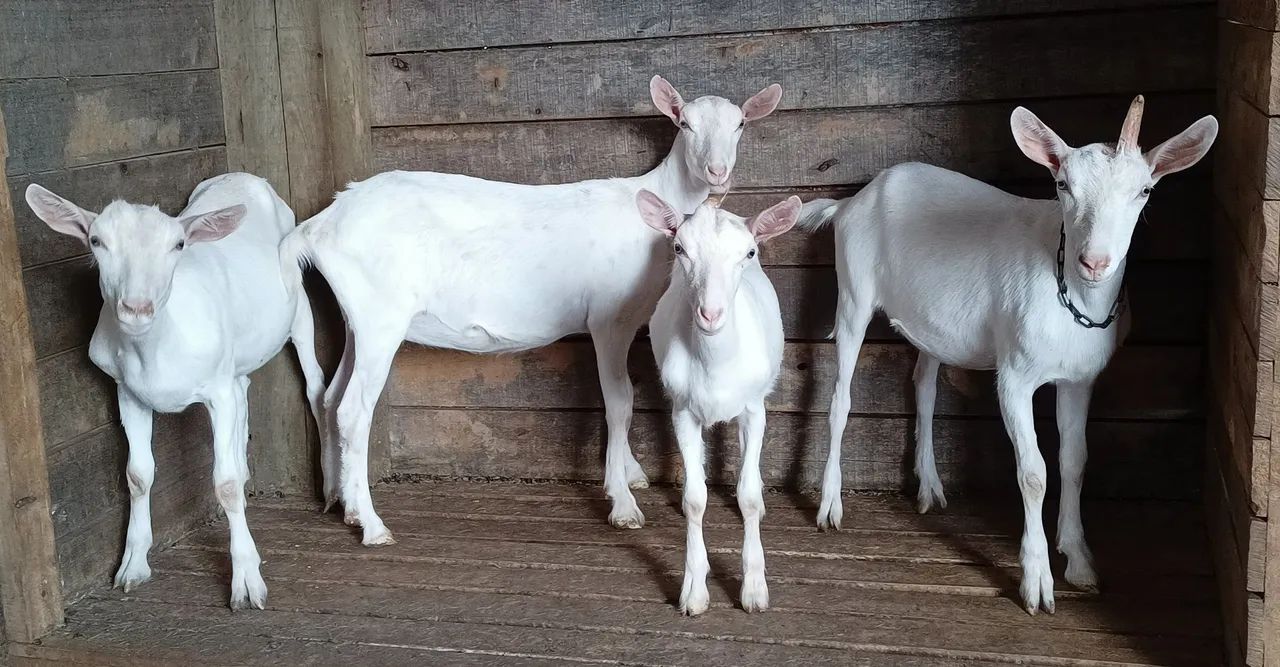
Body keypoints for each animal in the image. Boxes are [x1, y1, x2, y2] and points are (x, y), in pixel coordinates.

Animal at [26, 173, 326, 609]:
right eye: (96, 240)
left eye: (179, 245)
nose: (137, 308)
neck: (157, 347)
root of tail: (245, 177)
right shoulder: (128, 392)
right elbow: (137, 475)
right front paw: (133, 566)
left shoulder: (216, 391)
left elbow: (225, 483)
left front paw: (246, 582)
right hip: (236, 359)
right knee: (244, 390)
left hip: (299, 308)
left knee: (315, 382)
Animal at [281, 76, 783, 545]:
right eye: (684, 124)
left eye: (740, 123)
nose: (717, 172)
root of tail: (320, 225)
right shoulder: (609, 319)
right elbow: (620, 401)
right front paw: (622, 502)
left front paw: (631, 474)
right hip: (381, 316)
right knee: (352, 409)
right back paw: (371, 524)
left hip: (358, 320)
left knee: (330, 396)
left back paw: (342, 502)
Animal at [639, 189, 800, 615]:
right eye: (679, 248)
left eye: (749, 252)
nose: (710, 315)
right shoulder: (682, 411)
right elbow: (696, 499)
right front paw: (693, 591)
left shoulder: (754, 410)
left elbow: (747, 496)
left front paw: (754, 589)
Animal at [800, 97, 1217, 614]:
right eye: (1062, 185)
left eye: (1144, 190)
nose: (1094, 262)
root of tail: (851, 202)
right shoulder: (1015, 377)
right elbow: (1034, 472)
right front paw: (1037, 580)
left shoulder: (1079, 380)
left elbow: (1075, 458)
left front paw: (1079, 561)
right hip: (854, 293)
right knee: (841, 398)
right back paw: (829, 506)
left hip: (932, 322)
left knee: (924, 385)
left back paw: (930, 487)